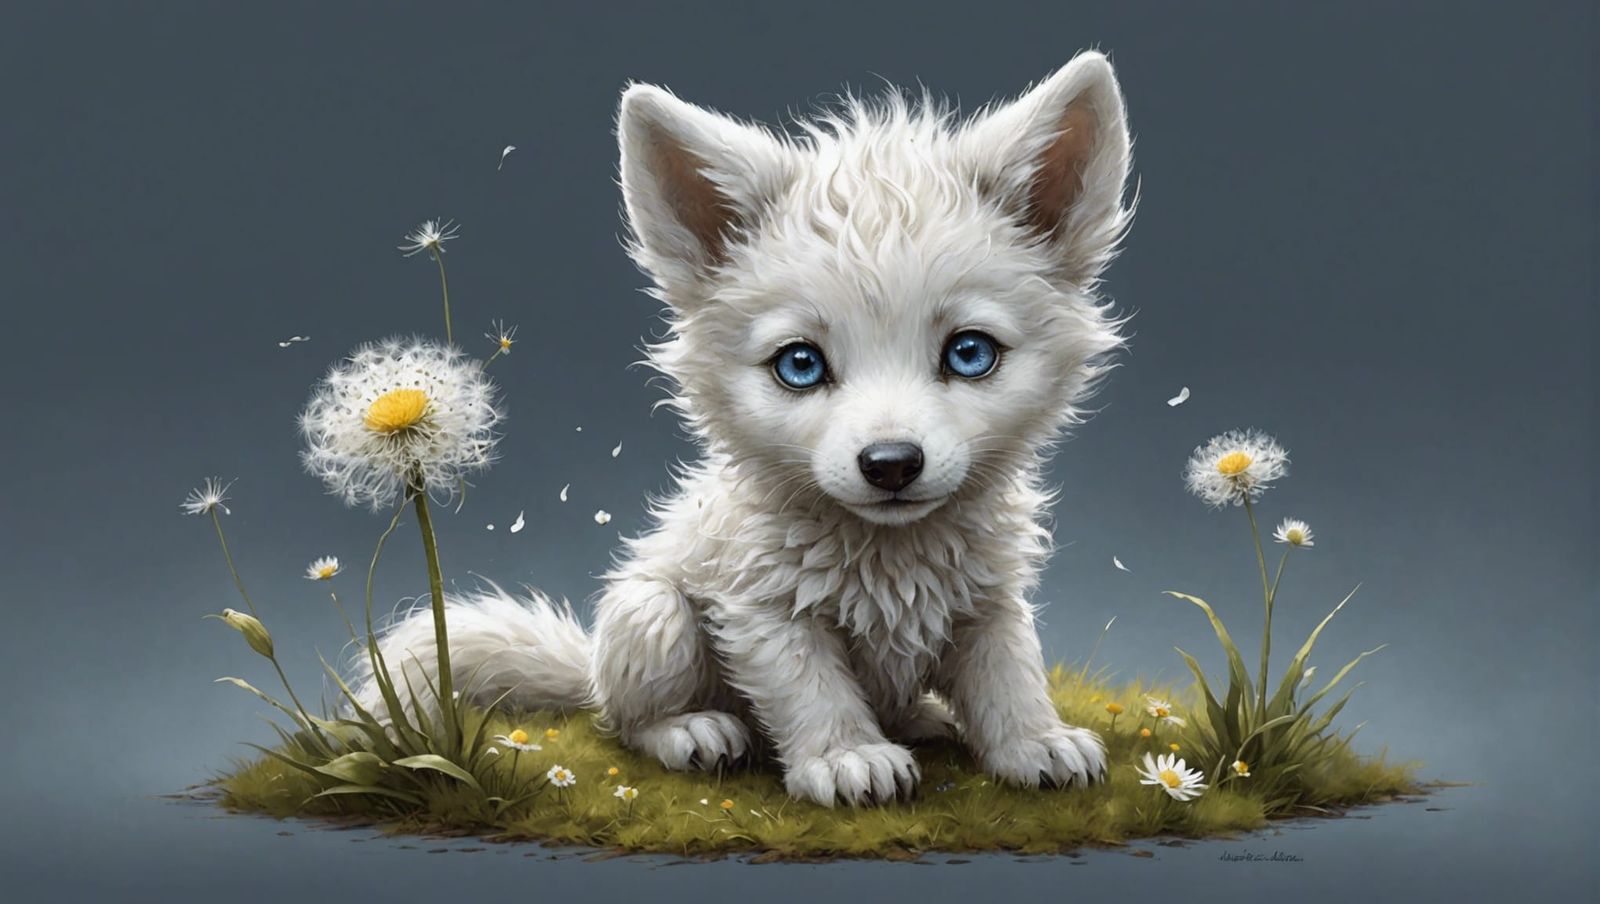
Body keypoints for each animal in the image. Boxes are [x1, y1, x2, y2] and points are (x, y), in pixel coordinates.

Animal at [355, 50, 1135, 807]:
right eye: (800, 365)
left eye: (969, 354)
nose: (890, 464)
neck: (890, 558)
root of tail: (593, 670)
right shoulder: (763, 608)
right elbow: (812, 690)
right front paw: (845, 758)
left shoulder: (990, 600)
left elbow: (1011, 674)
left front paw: (1035, 742)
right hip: (652, 615)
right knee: (625, 720)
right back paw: (691, 731)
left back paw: (923, 718)